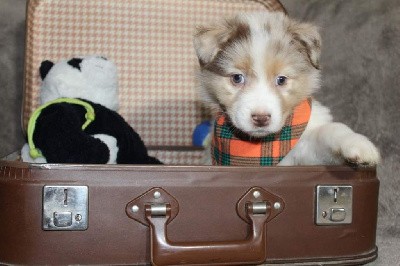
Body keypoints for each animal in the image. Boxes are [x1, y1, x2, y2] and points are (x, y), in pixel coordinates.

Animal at [194, 13, 382, 166]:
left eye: (281, 79)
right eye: (237, 78)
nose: (261, 118)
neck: (261, 145)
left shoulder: (303, 152)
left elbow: (330, 129)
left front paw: (357, 144)